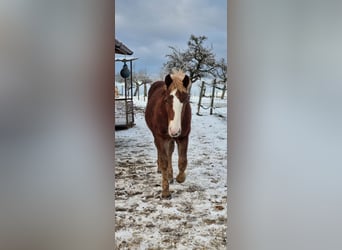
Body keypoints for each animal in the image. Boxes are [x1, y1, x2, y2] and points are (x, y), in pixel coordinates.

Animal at [145, 69, 192, 198]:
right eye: (166, 100)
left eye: (186, 100)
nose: (174, 131)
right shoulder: (160, 138)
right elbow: (164, 162)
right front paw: (165, 191)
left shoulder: (183, 137)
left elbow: (182, 161)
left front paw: (180, 178)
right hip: (158, 137)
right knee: (161, 154)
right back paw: (160, 169)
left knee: (170, 152)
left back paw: (170, 176)